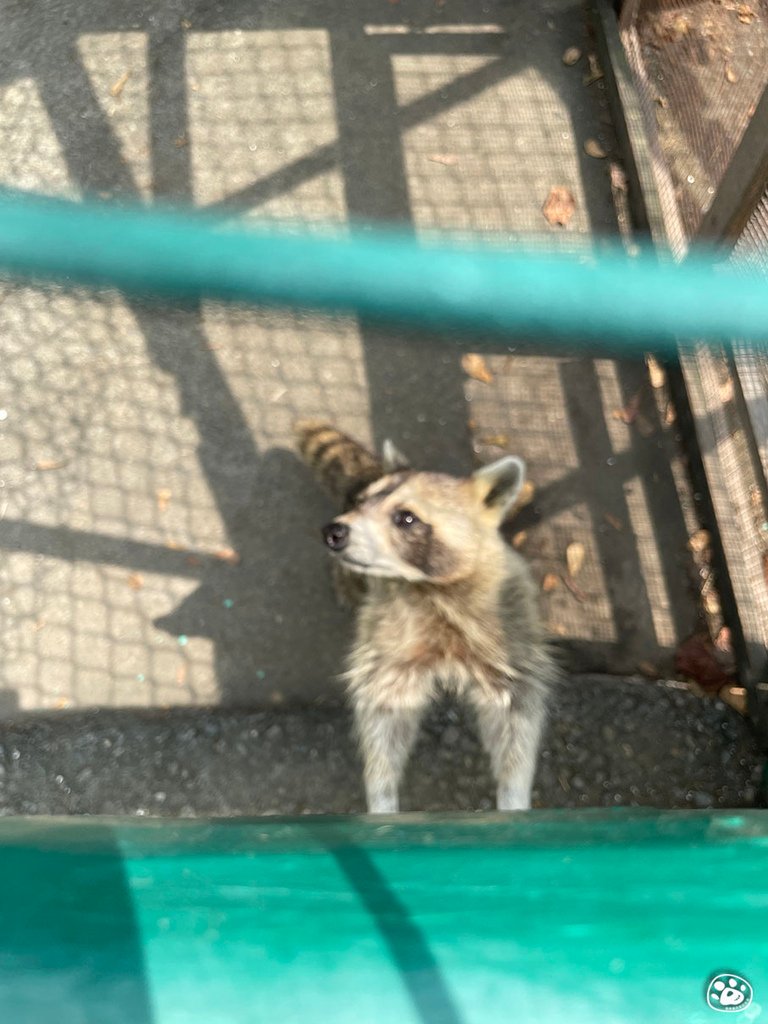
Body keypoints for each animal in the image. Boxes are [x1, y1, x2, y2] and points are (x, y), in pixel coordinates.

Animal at [292, 419, 552, 811]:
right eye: (362, 503)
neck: (426, 585)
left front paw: (514, 790)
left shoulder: (508, 621)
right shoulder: (386, 634)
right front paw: (381, 792)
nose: (333, 531)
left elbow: (516, 711)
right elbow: (383, 711)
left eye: (406, 518)